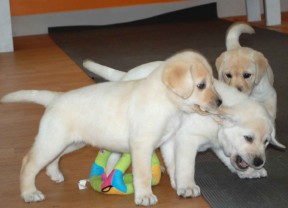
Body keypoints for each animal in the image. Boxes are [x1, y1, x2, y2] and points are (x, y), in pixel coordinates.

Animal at [0, 50, 223, 206]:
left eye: (213, 83)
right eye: (201, 85)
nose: (220, 102)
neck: (167, 102)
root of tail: (55, 98)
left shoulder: (168, 141)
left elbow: (174, 164)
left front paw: (181, 185)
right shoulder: (142, 145)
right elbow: (143, 173)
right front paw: (145, 196)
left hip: (69, 142)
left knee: (54, 158)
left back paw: (54, 174)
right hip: (53, 140)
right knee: (29, 162)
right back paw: (29, 193)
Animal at [82, 59, 284, 197]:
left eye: (266, 142)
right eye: (248, 138)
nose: (259, 162)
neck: (215, 119)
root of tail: (126, 75)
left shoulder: (218, 144)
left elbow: (229, 161)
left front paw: (249, 172)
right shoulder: (187, 140)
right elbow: (185, 166)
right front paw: (186, 186)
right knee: (112, 156)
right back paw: (107, 177)